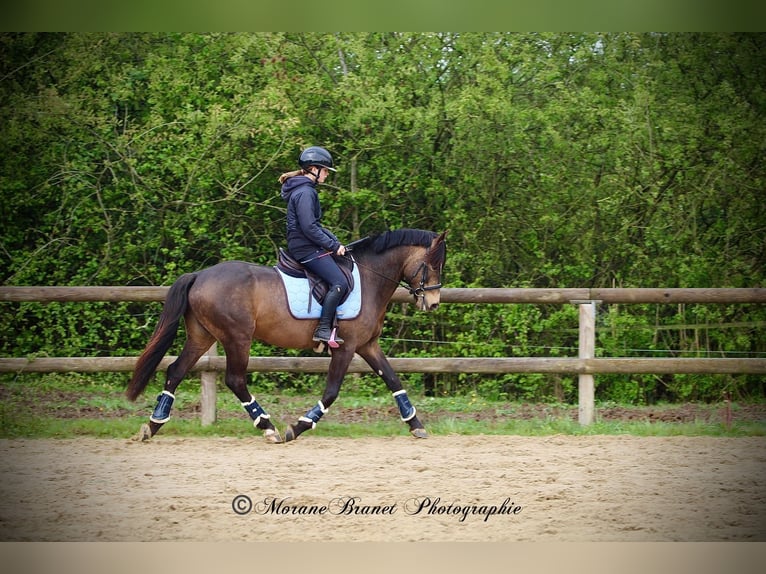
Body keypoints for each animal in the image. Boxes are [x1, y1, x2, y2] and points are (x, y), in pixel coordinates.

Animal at [126, 228, 447, 443]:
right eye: (432, 264)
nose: (433, 303)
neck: (369, 278)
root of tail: (199, 275)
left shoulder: (367, 345)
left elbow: (393, 380)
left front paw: (416, 424)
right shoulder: (345, 348)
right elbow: (331, 392)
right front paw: (299, 426)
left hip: (202, 337)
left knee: (175, 371)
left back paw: (152, 426)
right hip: (237, 338)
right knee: (235, 380)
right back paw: (268, 427)